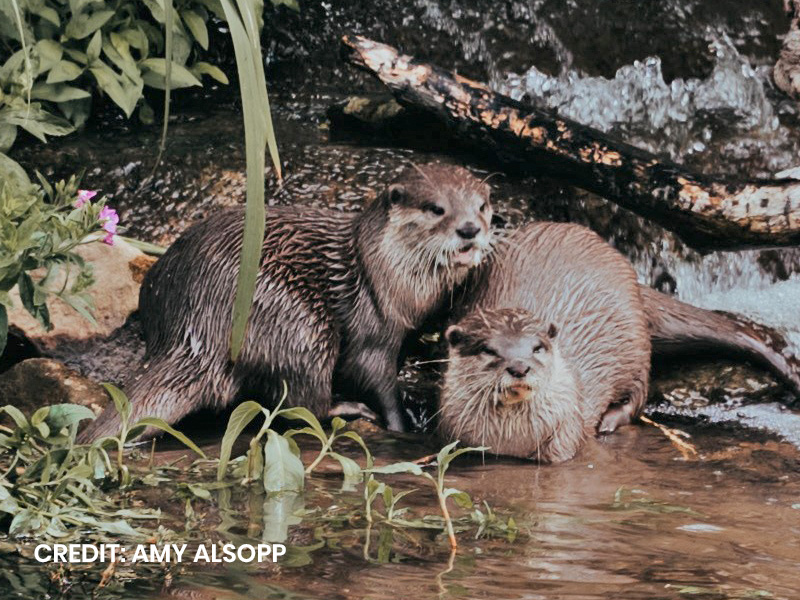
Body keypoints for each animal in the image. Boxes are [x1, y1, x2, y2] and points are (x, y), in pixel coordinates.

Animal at [78, 163, 493, 441]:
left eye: (483, 206)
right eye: (436, 208)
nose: (469, 228)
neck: (389, 275)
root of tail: (188, 331)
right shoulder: (374, 324)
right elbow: (371, 374)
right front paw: (400, 425)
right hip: (298, 320)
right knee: (300, 400)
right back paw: (345, 407)